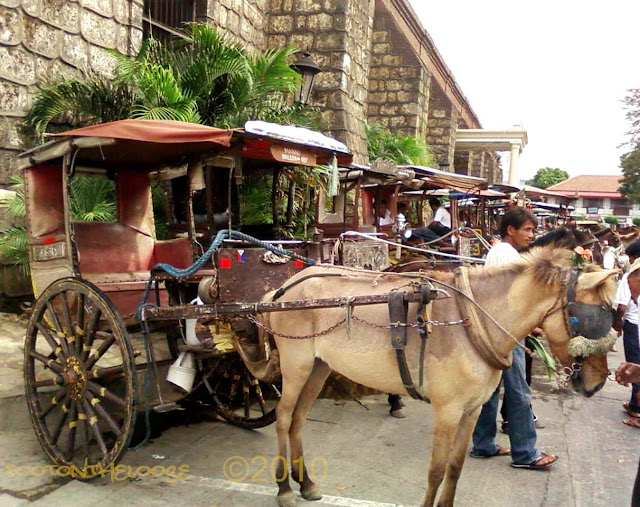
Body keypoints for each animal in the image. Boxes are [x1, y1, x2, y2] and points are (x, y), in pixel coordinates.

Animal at [243, 245, 617, 506]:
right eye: (596, 316)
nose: (598, 382)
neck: (473, 320)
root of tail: (281, 291)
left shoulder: (471, 410)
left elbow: (454, 467)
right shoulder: (447, 412)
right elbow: (435, 470)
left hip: (319, 367)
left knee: (298, 419)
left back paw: (305, 483)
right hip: (296, 364)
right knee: (283, 417)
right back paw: (284, 487)